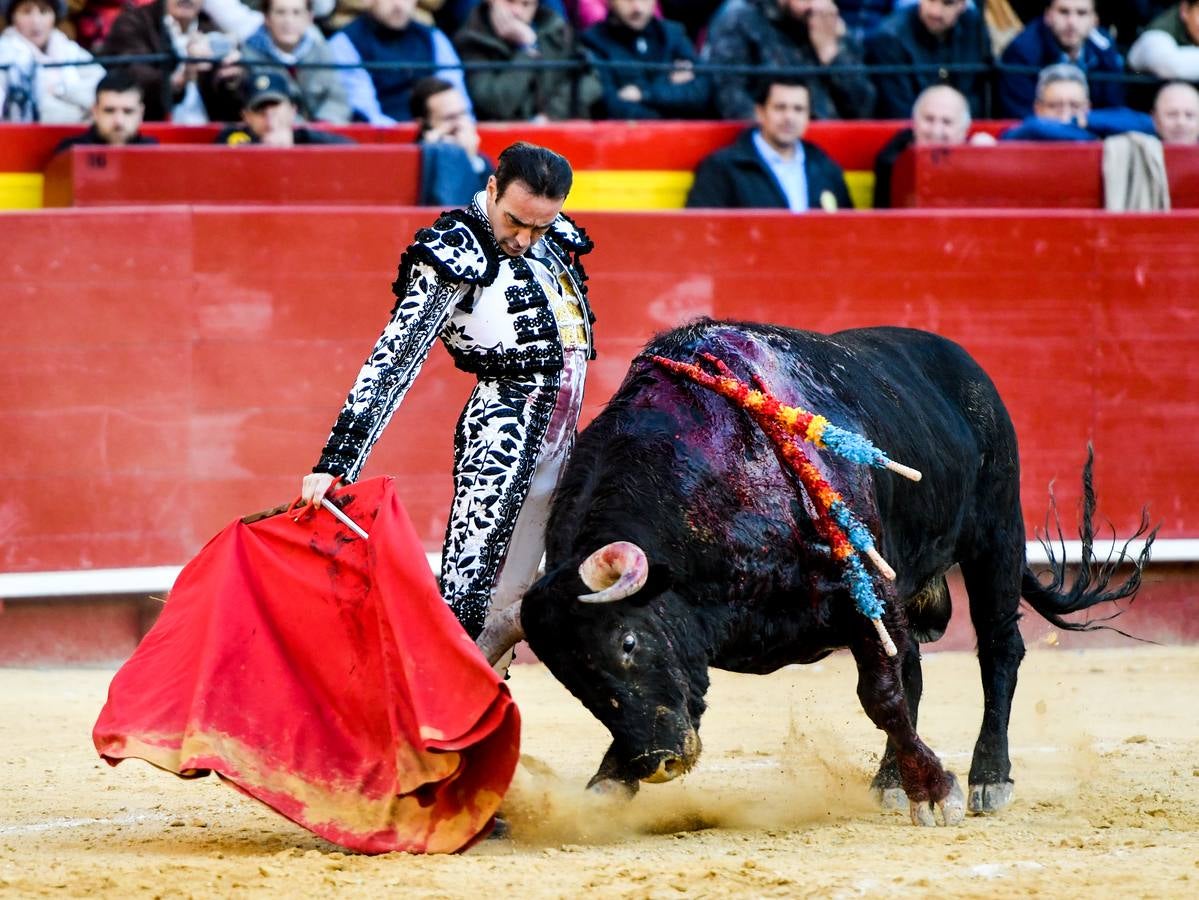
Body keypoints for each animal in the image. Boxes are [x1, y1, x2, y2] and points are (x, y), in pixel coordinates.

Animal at [481, 321, 1155, 829]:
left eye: (626, 641)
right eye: (571, 680)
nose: (659, 762)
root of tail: (965, 367)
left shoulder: (861, 593)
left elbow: (881, 696)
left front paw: (939, 791)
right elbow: (893, 688)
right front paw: (605, 784)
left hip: (996, 536)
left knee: (998, 652)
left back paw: (989, 778)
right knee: (917, 669)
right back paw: (890, 781)